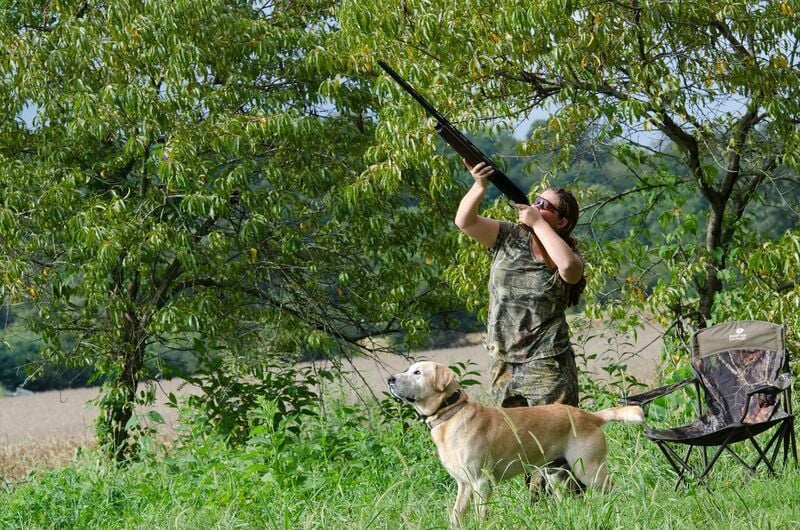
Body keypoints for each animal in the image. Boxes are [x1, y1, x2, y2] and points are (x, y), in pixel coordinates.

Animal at [388, 358, 644, 524]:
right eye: (408, 369)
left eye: (417, 373)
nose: (390, 379)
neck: (449, 412)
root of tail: (590, 416)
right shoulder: (463, 483)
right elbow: (456, 515)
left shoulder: (481, 481)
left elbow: (481, 514)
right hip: (557, 475)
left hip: (590, 469)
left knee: (616, 491)